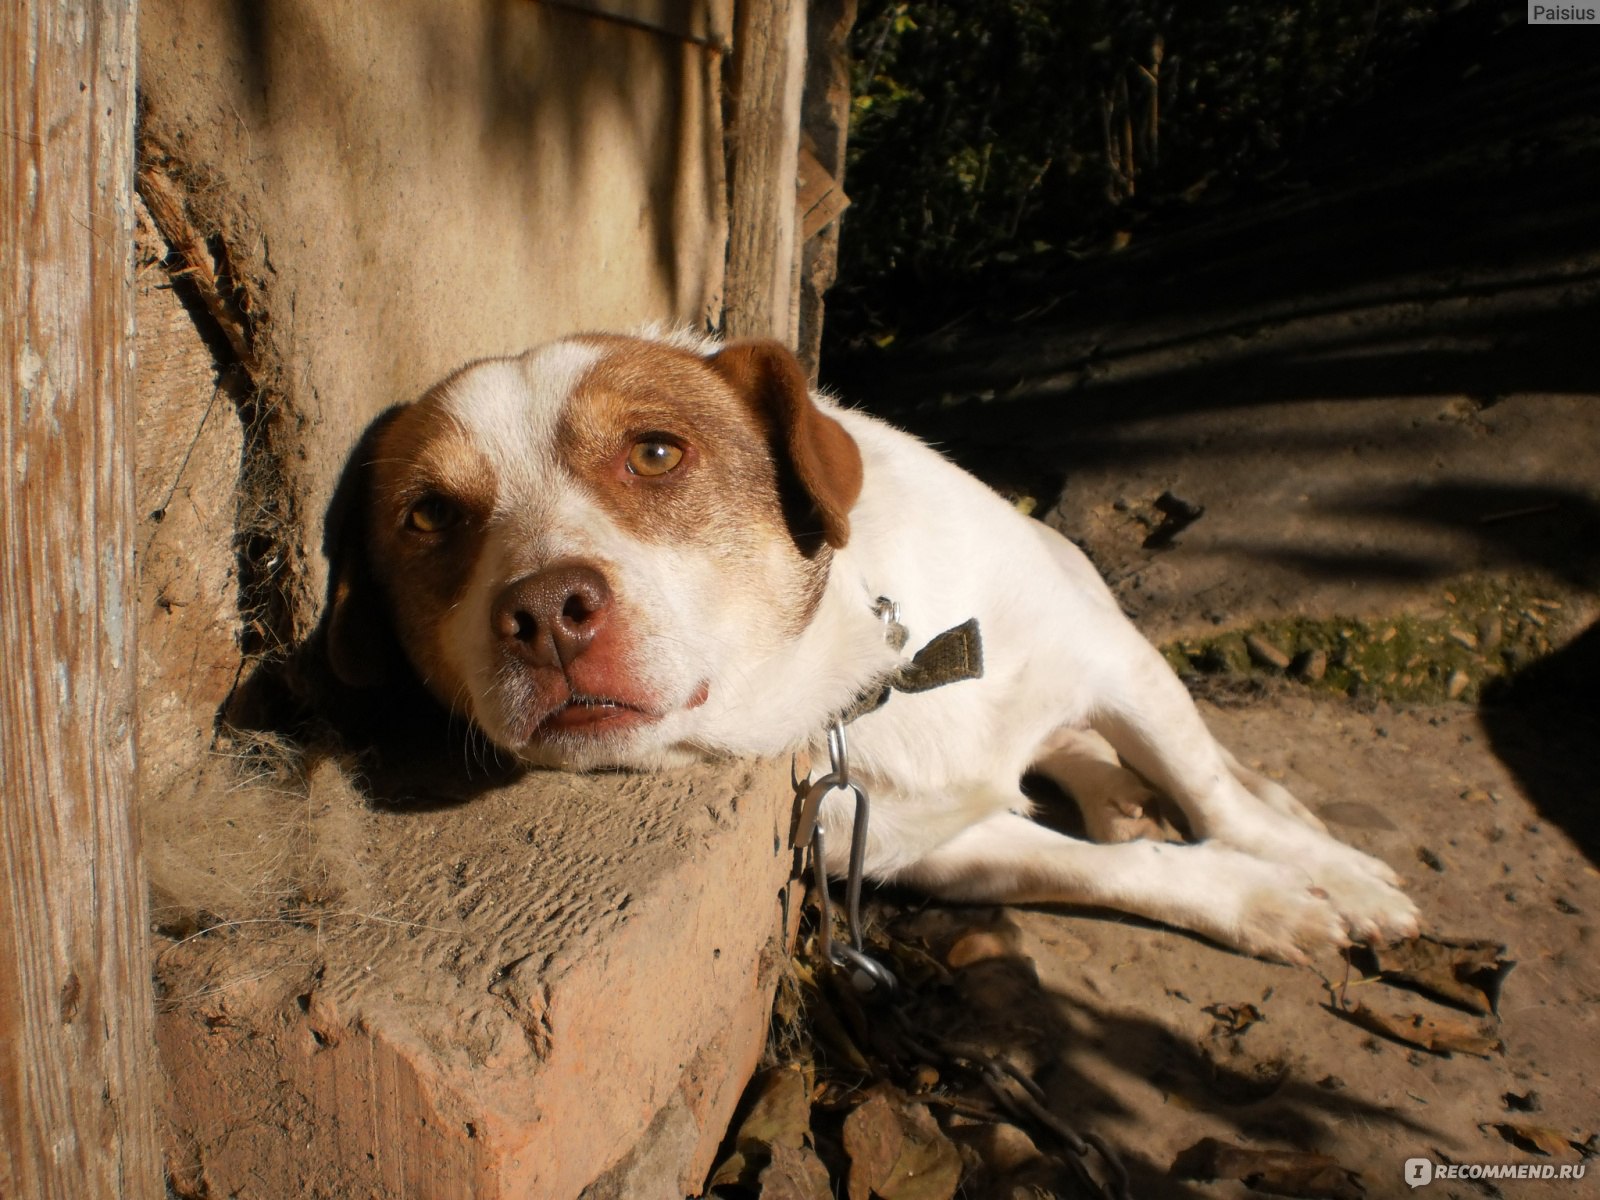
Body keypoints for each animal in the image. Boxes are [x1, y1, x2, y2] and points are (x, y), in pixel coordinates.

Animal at [331, 331, 1420, 966]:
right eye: (428, 516)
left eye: (656, 451)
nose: (546, 613)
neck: (864, 678)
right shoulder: (921, 843)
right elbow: (1114, 870)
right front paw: (1254, 900)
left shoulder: (1113, 663)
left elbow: (1218, 799)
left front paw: (1333, 874)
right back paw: (1117, 800)